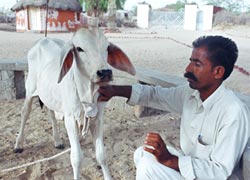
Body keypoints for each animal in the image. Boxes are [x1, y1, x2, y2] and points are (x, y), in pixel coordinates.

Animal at [13, 26, 135, 180]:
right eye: (79, 48)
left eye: (107, 47)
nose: (105, 72)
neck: (87, 94)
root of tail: (44, 39)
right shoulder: (70, 119)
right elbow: (76, 158)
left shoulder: (97, 119)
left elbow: (101, 155)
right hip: (30, 91)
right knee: (25, 113)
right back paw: (18, 144)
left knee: (51, 114)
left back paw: (57, 141)